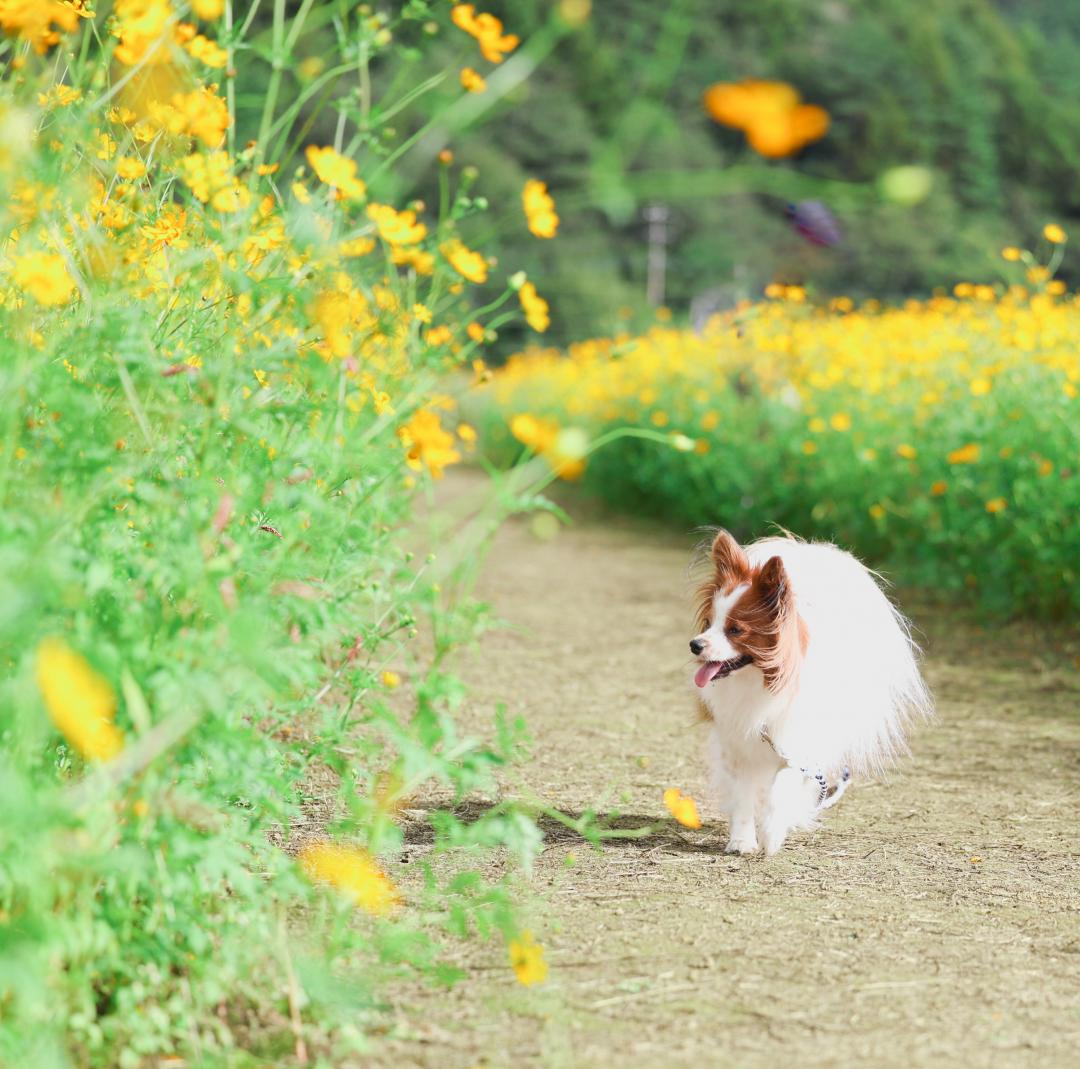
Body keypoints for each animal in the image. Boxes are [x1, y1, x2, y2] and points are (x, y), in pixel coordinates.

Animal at [695, 531, 933, 859]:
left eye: (735, 630)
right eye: (708, 624)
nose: (695, 645)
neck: (759, 682)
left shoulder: (800, 743)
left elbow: (783, 784)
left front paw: (772, 832)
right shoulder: (736, 744)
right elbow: (743, 794)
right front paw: (742, 840)